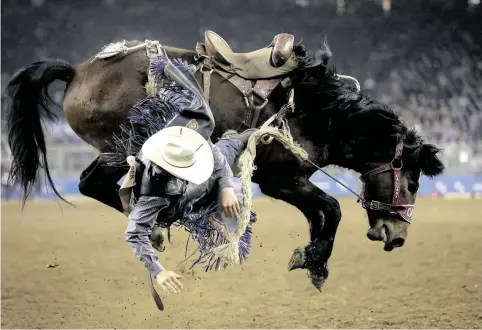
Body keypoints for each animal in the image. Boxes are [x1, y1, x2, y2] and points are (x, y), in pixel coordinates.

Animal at [4, 29, 444, 290]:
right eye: (414, 182)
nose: (398, 236)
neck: (316, 109)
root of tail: (77, 72)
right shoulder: (281, 179)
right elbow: (331, 208)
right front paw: (315, 260)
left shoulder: (289, 181)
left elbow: (322, 213)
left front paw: (314, 263)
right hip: (123, 145)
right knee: (92, 181)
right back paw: (156, 226)